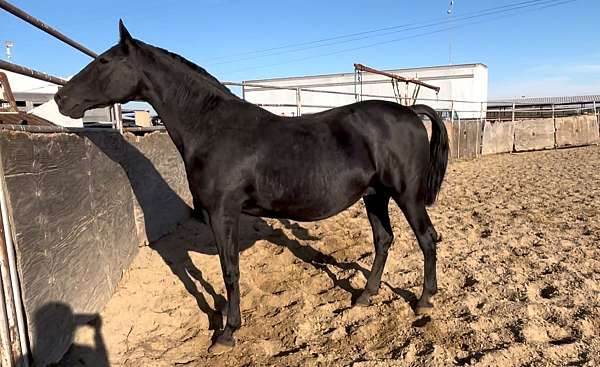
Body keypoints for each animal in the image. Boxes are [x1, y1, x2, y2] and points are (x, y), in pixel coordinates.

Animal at [56, 21, 448, 356]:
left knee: (427, 239)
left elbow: (230, 272)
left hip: (407, 196)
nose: (61, 99)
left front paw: (226, 333)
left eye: (104, 61)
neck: (212, 127)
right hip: (374, 196)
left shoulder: (222, 214)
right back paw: (365, 296)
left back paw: (424, 300)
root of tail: (411, 113)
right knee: (384, 240)